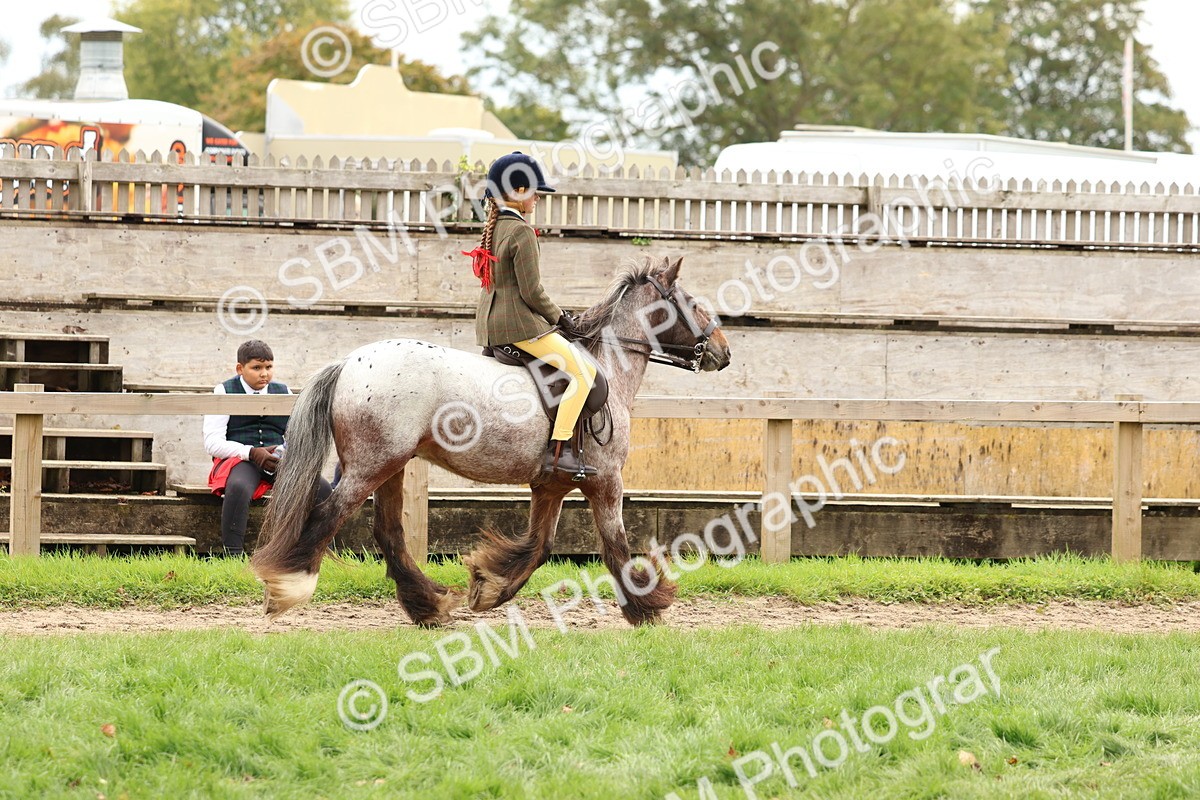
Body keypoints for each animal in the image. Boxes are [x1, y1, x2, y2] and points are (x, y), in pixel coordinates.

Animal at [250, 255, 732, 626]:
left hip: (392, 465)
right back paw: (289, 587)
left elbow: (540, 546)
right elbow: (615, 544)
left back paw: (429, 605)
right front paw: (647, 606)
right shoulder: (606, 480)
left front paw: (489, 588)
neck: (609, 366)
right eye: (692, 303)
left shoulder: (551, 485)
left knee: (388, 531)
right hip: (373, 464)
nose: (724, 352)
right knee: (328, 514)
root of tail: (349, 360)